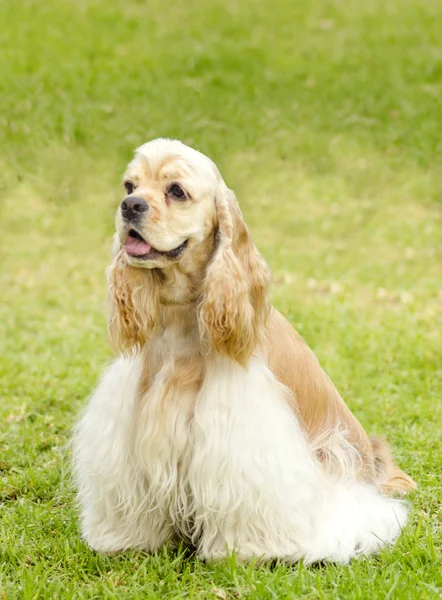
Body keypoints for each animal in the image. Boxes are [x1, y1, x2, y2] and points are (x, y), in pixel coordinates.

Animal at [72, 138, 414, 564]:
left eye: (176, 191)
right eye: (129, 185)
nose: (130, 206)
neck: (182, 316)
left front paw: (243, 550)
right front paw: (126, 540)